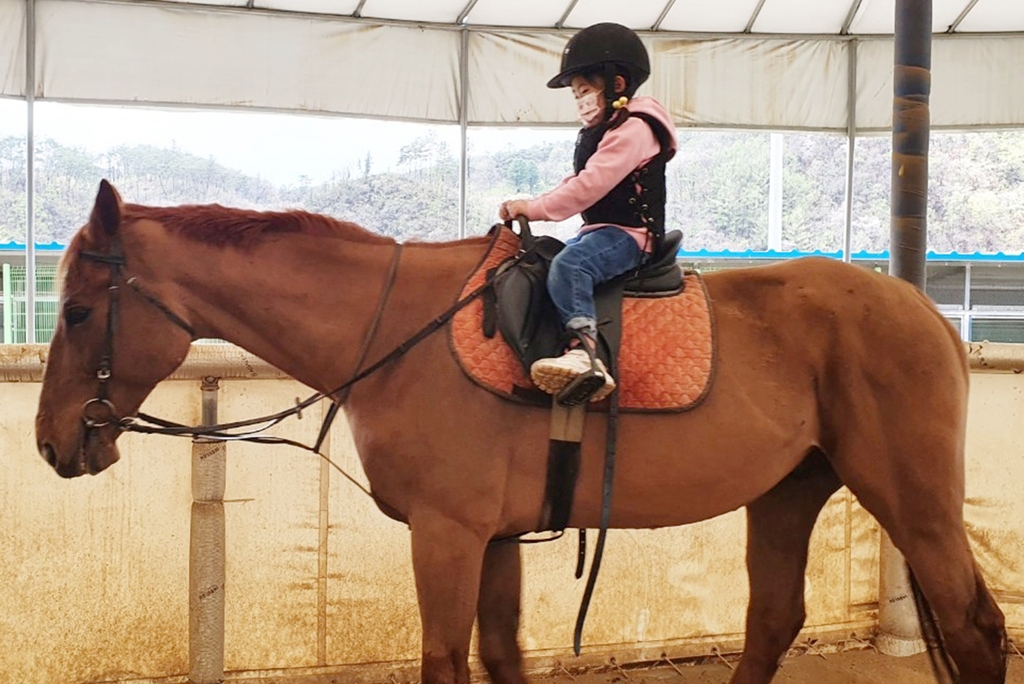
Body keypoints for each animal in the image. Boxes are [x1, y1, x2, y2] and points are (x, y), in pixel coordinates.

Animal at [34, 181, 1007, 684]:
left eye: (77, 310)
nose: (50, 443)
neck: (397, 330)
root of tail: (921, 307)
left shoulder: (449, 536)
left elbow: (445, 658)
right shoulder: (495, 539)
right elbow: (500, 654)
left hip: (913, 499)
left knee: (975, 628)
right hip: (787, 491)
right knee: (773, 618)